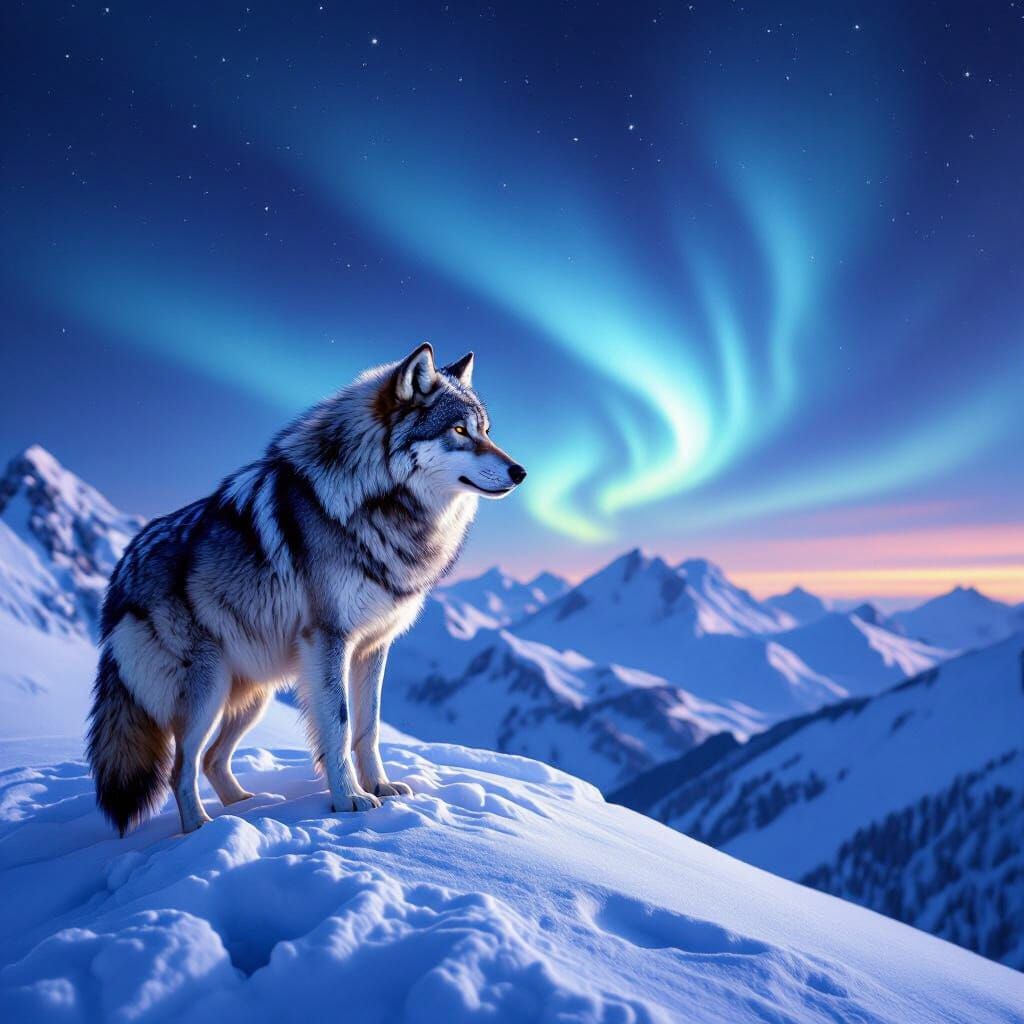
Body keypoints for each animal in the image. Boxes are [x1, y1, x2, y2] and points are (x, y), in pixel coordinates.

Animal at [87, 343, 526, 835]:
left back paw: (246, 806)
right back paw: (201, 828)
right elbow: (339, 724)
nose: (520, 471)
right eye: (459, 430)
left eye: (486, 431)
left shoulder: (374, 647)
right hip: (208, 691)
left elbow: (369, 727)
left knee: (213, 759)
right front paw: (349, 799)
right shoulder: (330, 639)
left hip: (252, 695)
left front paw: (380, 787)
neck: (379, 502)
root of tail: (120, 575)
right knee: (181, 766)